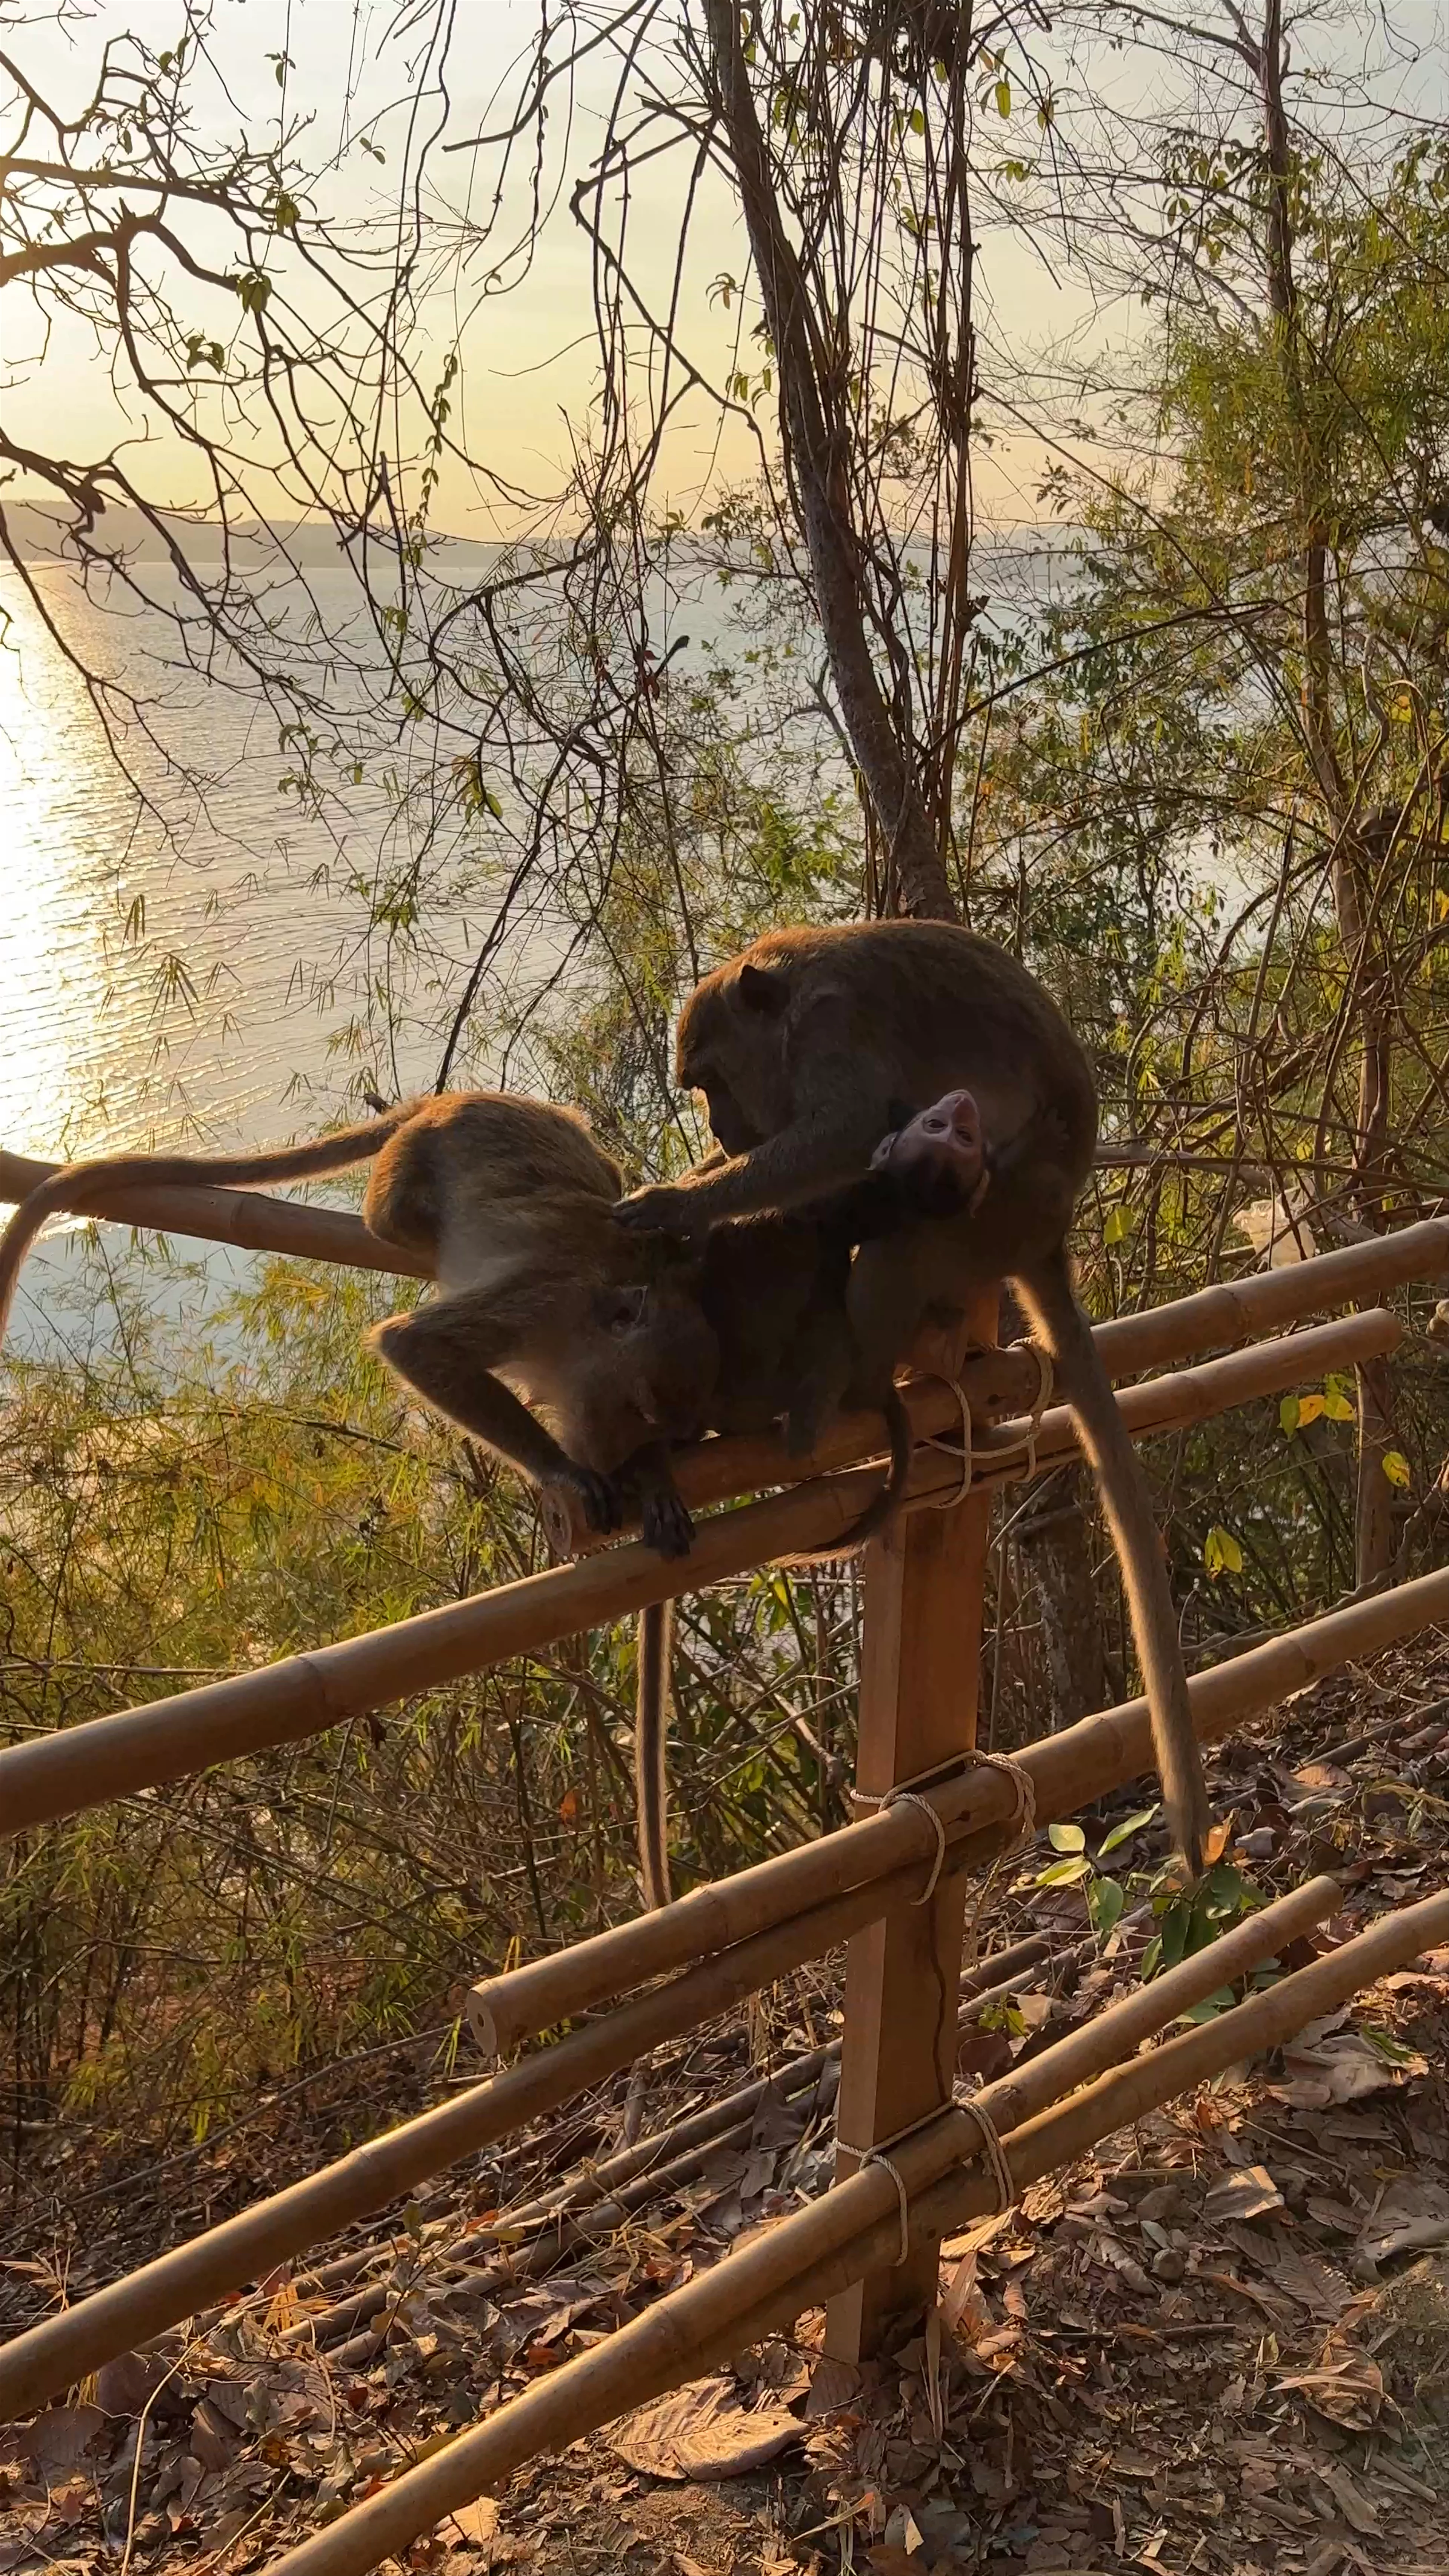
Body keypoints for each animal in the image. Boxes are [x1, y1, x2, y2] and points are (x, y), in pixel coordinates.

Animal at [614, 921, 1212, 1879]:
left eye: (709, 1079)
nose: (717, 1124)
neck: (788, 1003)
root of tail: (1050, 1227)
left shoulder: (835, 1036)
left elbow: (841, 1132)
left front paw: (681, 1201)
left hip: (987, 1213)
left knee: (903, 1236)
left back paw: (843, 1388)